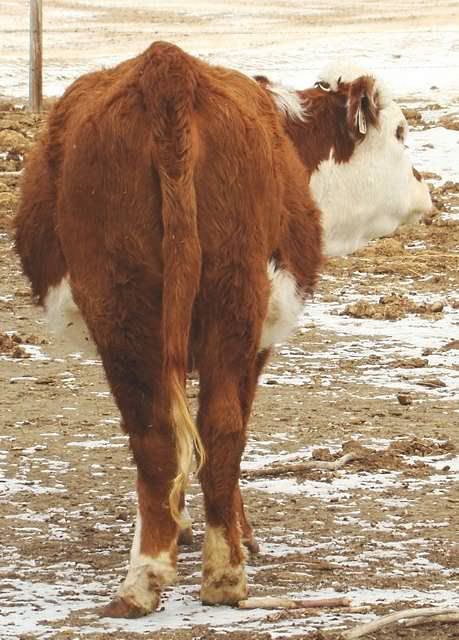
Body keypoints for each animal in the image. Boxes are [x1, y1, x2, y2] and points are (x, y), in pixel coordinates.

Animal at [14, 41, 322, 617]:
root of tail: (168, 67)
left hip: (122, 304)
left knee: (155, 435)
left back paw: (144, 578)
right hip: (233, 291)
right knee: (220, 428)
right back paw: (223, 575)